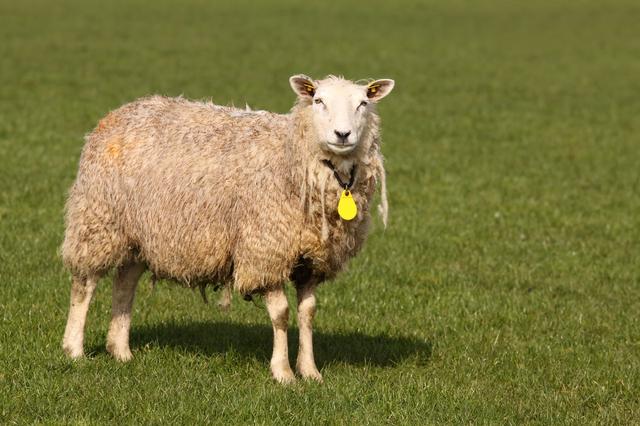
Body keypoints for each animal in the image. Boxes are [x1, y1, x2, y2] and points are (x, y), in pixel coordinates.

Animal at [63, 74, 396, 382]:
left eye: (363, 103)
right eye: (318, 101)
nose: (343, 134)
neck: (292, 156)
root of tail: (120, 112)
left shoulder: (311, 261)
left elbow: (308, 313)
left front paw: (310, 371)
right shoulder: (264, 250)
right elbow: (281, 314)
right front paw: (283, 372)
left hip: (138, 232)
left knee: (124, 283)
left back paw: (120, 351)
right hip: (99, 220)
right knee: (85, 284)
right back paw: (74, 350)